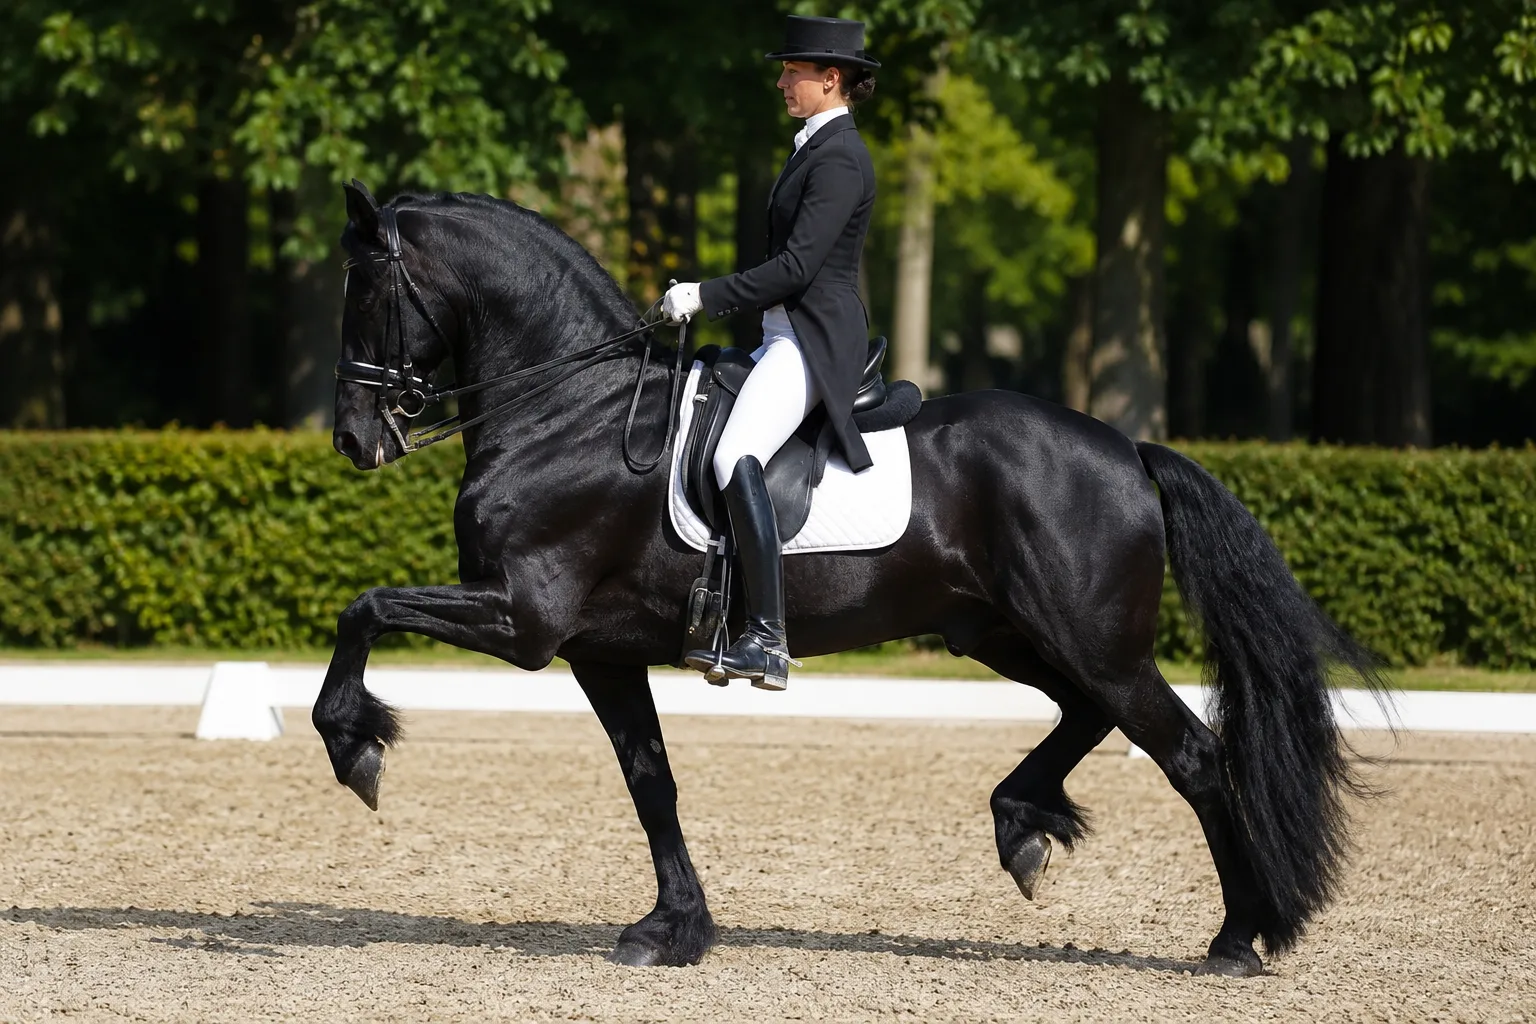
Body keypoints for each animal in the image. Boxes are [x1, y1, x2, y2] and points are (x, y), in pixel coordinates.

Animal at [316, 182, 1384, 978]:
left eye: (363, 288)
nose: (354, 441)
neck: (571, 412)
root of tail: (1126, 447)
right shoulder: (598, 652)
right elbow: (651, 782)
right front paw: (675, 929)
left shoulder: (525, 620)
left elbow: (362, 608)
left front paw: (355, 747)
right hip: (1003, 633)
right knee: (1089, 715)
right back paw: (1024, 828)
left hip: (1090, 638)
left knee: (1192, 754)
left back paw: (1236, 939)